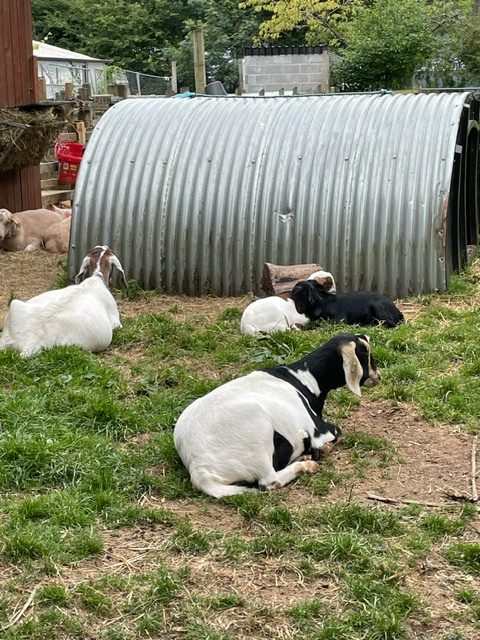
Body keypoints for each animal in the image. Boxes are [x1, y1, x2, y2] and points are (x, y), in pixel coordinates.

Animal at [172, 332, 378, 498]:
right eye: (366, 352)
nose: (378, 377)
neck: (303, 379)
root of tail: (200, 471)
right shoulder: (320, 430)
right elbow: (337, 433)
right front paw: (321, 451)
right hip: (258, 430)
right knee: (268, 482)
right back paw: (306, 465)